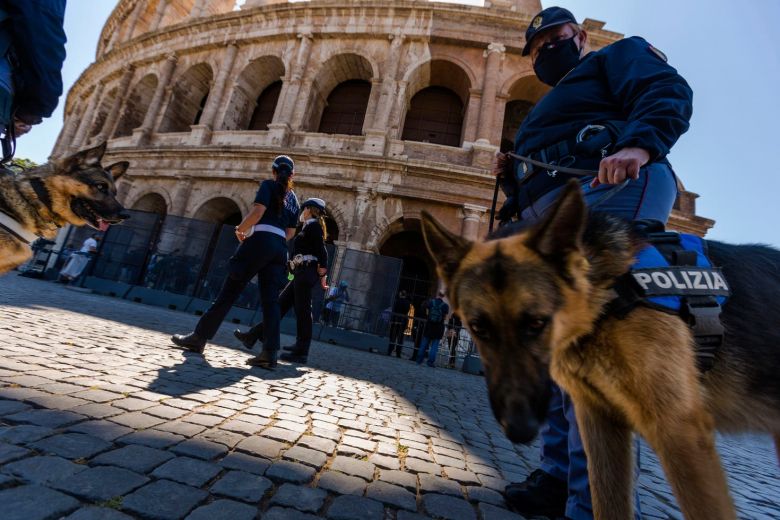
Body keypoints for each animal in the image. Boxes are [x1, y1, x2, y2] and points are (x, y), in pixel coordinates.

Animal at [420, 180, 780, 520]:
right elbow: (606, 504)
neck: (610, 294)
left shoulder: (680, 431)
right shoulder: (600, 422)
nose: (519, 430)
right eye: (478, 327)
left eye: (537, 322)